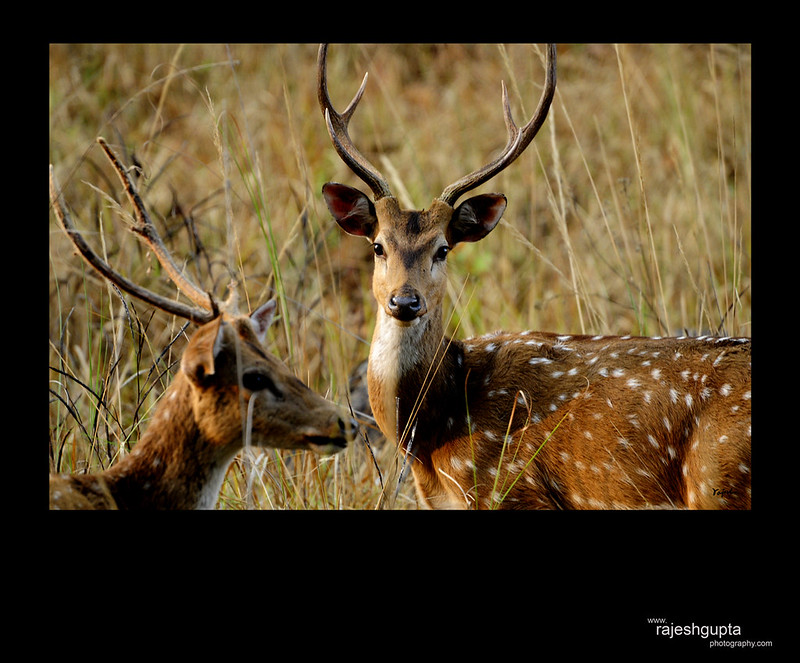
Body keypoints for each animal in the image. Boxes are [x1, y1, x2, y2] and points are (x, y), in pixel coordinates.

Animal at [318, 44, 752, 510]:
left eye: (443, 249)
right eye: (378, 246)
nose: (404, 301)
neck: (433, 433)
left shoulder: (509, 487)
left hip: (718, 481)